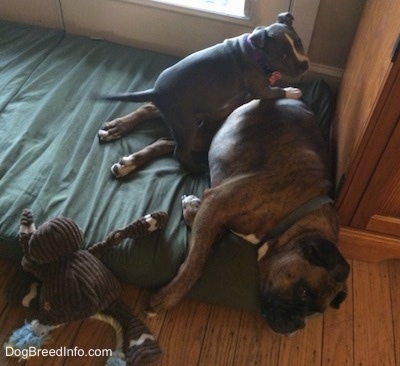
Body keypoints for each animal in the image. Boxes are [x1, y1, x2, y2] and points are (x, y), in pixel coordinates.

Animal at [97, 98, 350, 334]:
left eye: (315, 312)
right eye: (303, 291)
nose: (297, 326)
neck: (299, 211)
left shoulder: (213, 212)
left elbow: (203, 234)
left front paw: (190, 206)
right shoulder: (216, 204)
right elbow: (196, 265)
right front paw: (164, 299)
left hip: (202, 138)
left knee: (168, 142)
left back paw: (128, 161)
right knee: (154, 108)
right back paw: (117, 128)